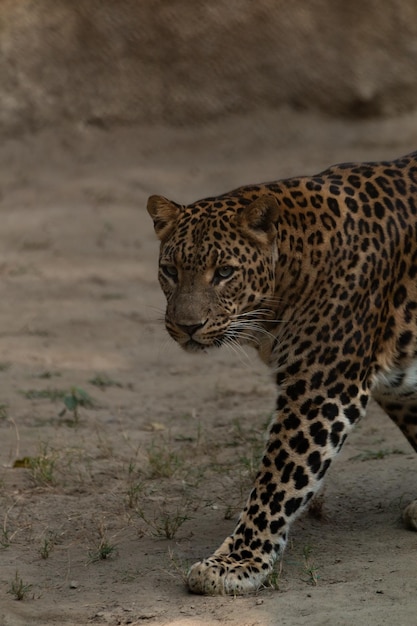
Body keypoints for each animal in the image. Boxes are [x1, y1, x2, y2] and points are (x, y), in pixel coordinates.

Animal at [146, 149, 416, 592]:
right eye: (170, 270)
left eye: (224, 273)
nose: (187, 326)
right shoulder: (393, 381)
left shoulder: (321, 386)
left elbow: (278, 479)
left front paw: (237, 562)